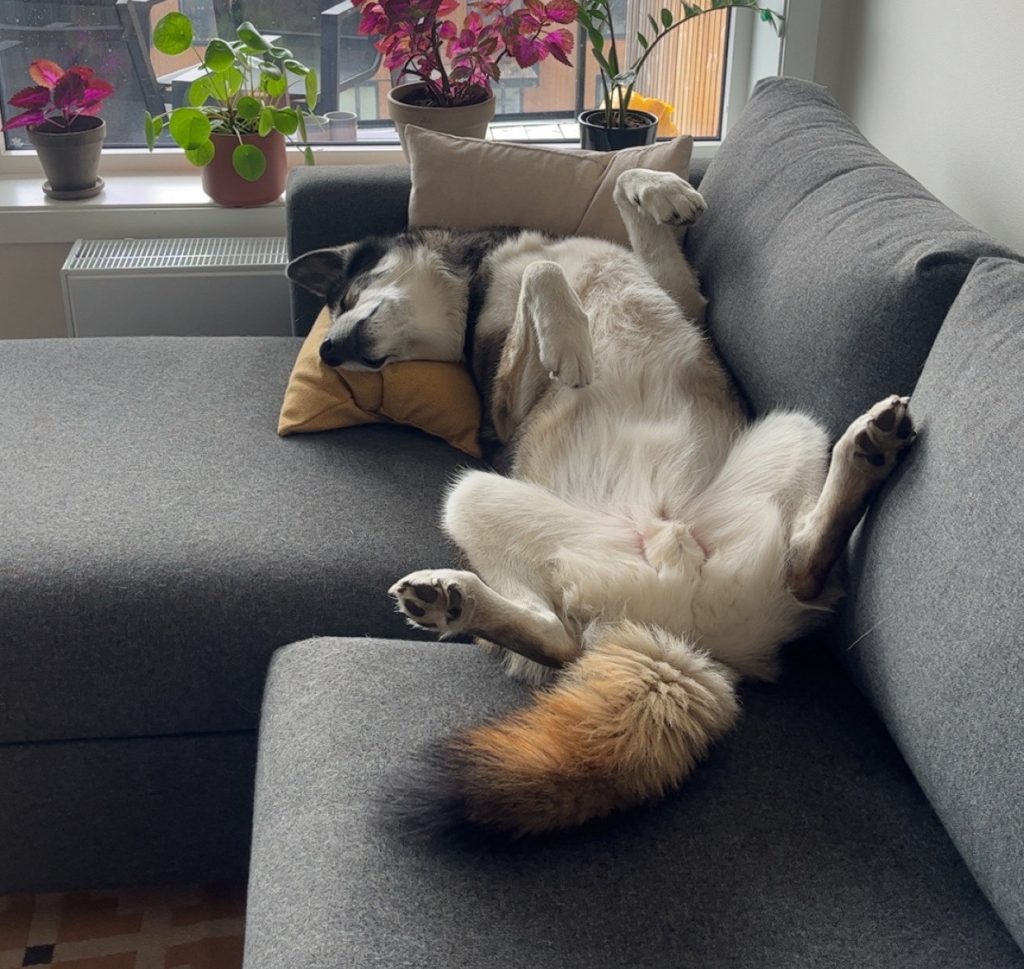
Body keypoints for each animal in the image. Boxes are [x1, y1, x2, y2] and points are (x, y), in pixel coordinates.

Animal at [287, 169, 915, 837]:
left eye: (348, 295)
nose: (328, 352)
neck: (478, 282)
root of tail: (675, 641)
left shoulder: (684, 299)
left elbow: (621, 193)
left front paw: (664, 192)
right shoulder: (504, 408)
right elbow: (544, 277)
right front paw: (570, 338)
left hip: (795, 428)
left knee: (802, 566)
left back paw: (868, 452)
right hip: (470, 493)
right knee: (560, 641)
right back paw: (454, 602)